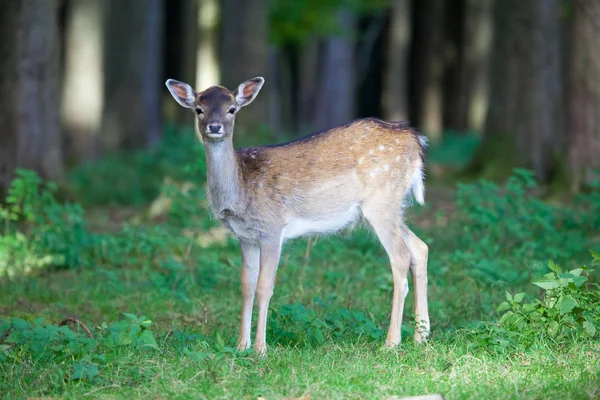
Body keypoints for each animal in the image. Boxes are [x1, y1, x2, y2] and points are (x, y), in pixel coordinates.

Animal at [164, 75, 428, 354]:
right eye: (198, 109)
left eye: (232, 109)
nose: (214, 127)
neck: (241, 192)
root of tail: (417, 141)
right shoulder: (245, 236)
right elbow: (246, 286)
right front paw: (241, 346)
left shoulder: (272, 227)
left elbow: (264, 287)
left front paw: (260, 349)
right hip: (392, 207)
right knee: (420, 248)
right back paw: (420, 336)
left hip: (381, 201)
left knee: (401, 256)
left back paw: (391, 342)